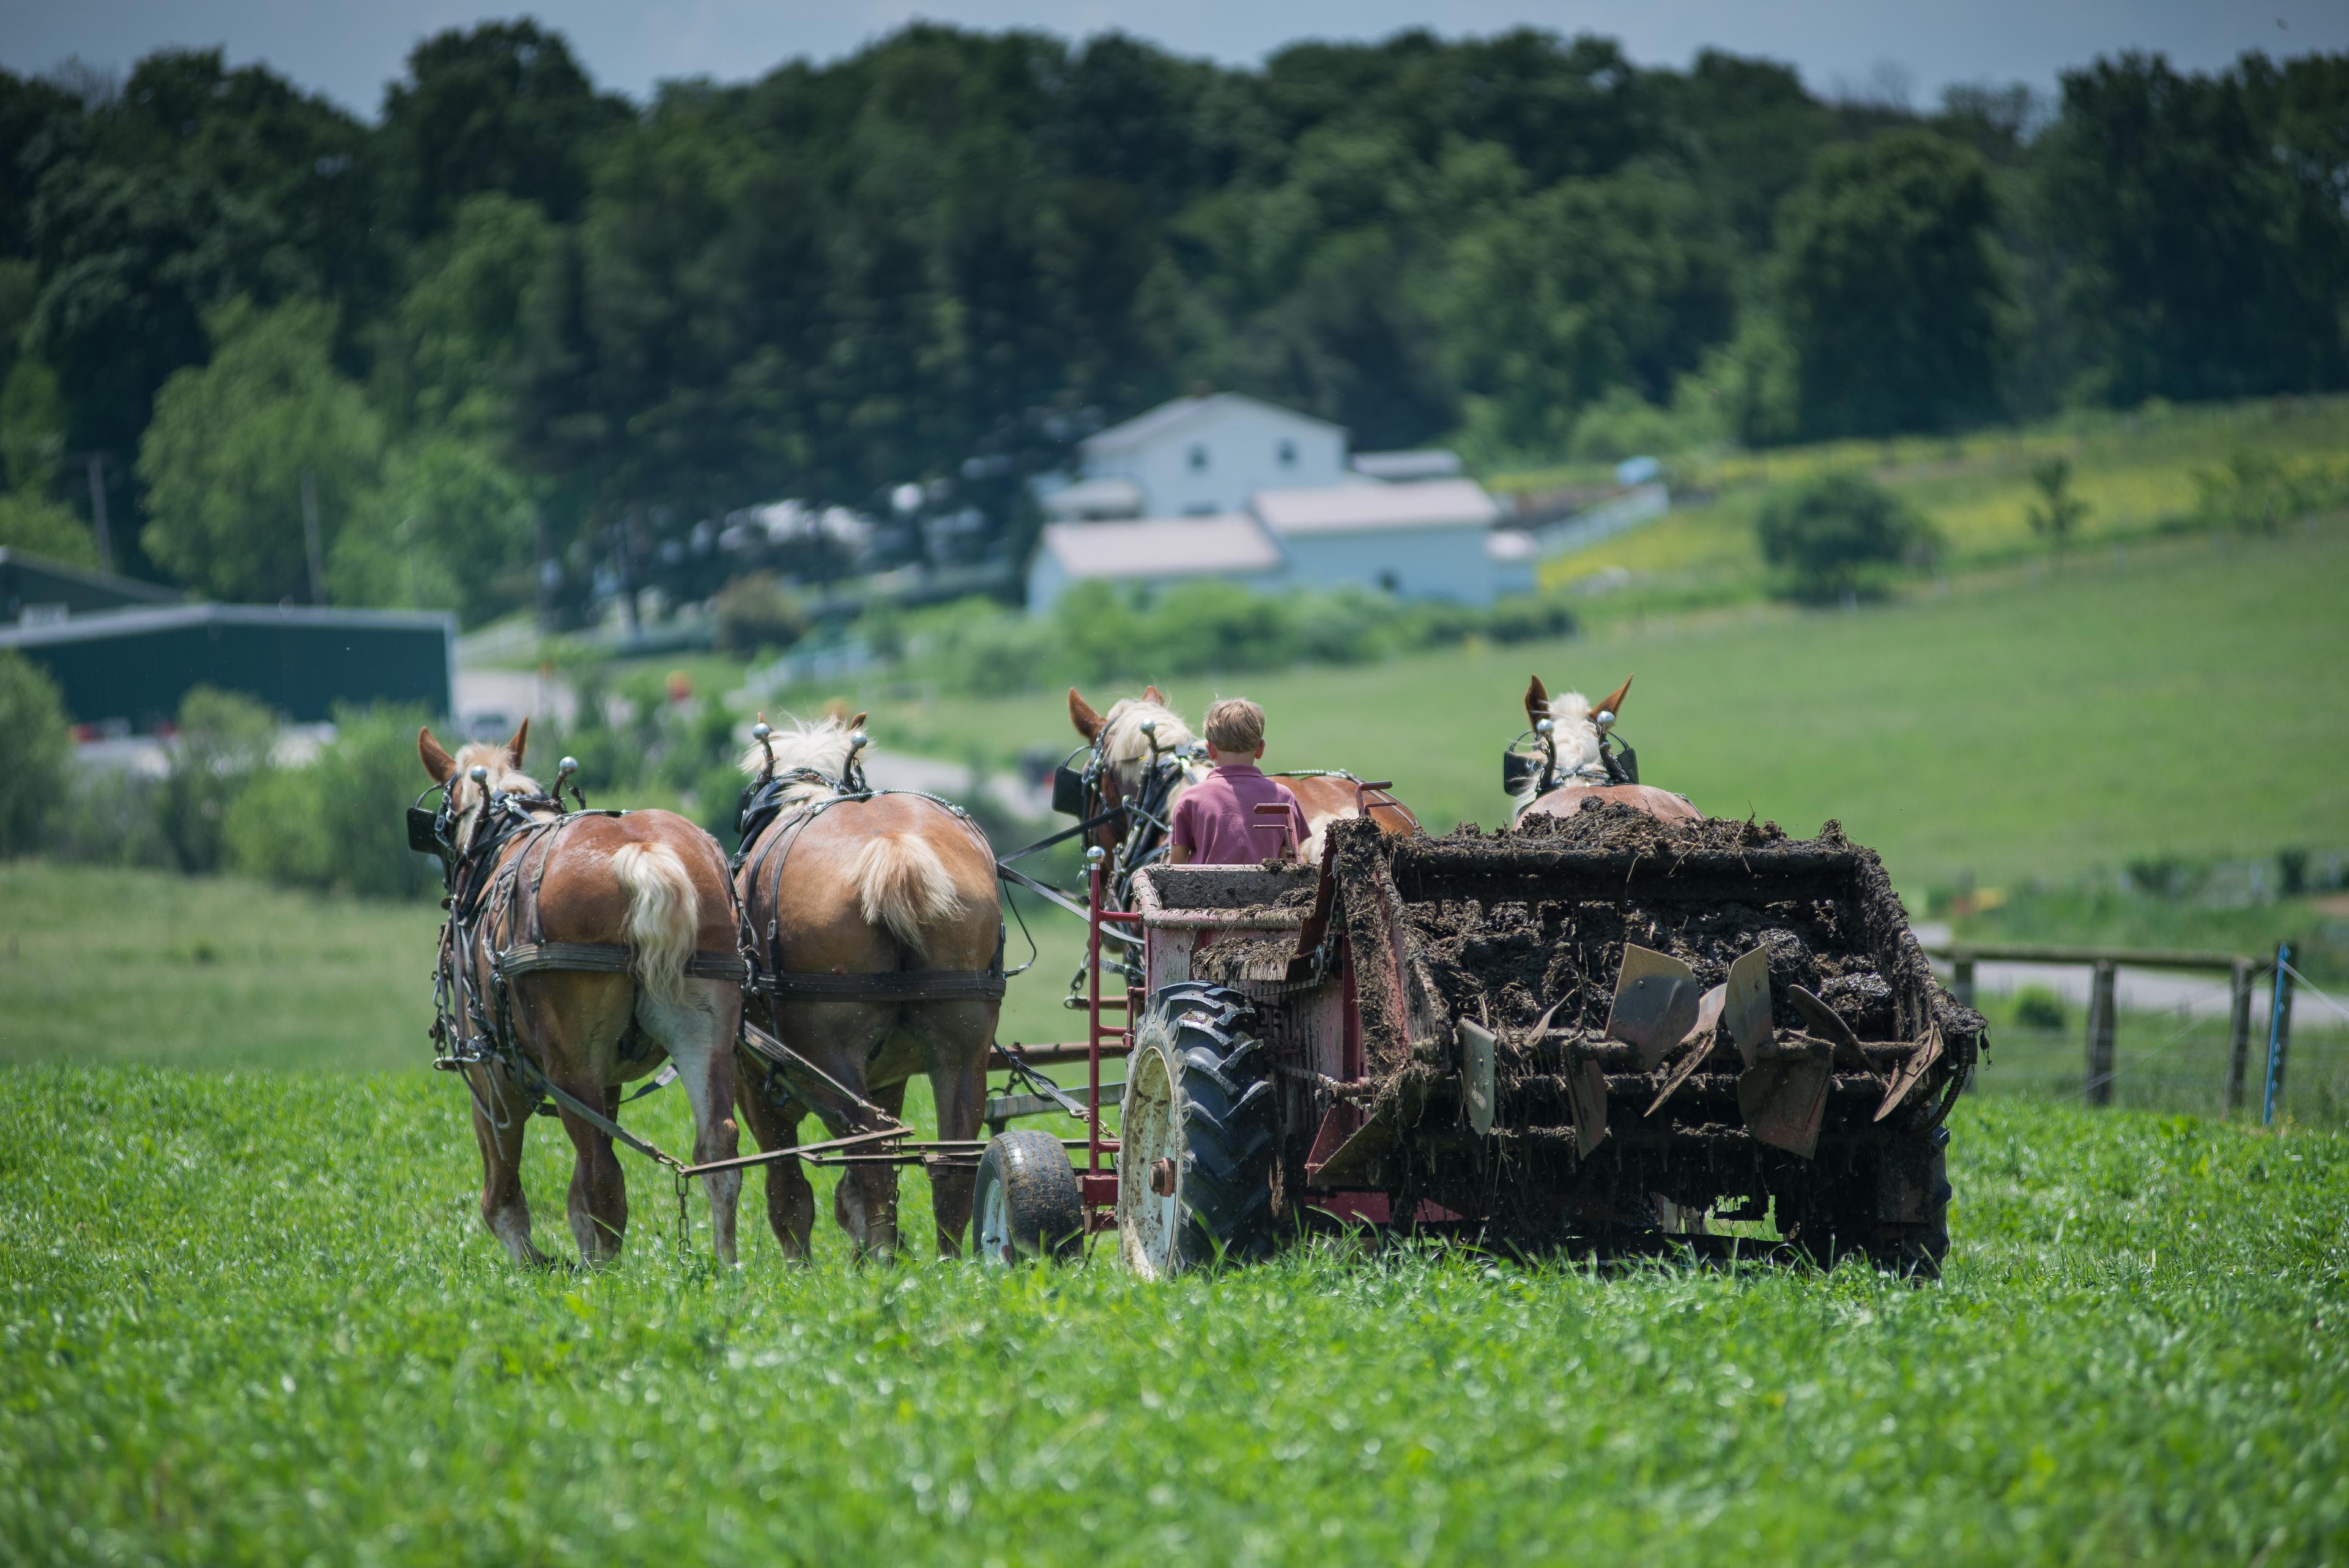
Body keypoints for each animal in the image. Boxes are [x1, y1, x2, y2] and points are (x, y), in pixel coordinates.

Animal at [415, 724, 742, 1279]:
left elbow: (502, 1196)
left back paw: (603, 1278)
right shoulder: (607, 1077)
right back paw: (727, 1267)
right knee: (719, 1149)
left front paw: (531, 1263)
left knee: (601, 1175)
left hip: (567, 1067)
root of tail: (644, 854)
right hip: (703, 1034)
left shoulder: (492, 1078)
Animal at [728, 719, 996, 1260]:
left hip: (827, 1051)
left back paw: (882, 1257)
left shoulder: (755, 1082)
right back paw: (947, 1261)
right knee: (949, 1161)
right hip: (962, 1046)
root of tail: (893, 849)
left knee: (869, 1150)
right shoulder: (888, 1077)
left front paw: (802, 1262)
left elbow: (788, 1189)